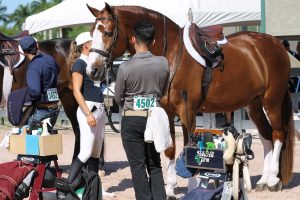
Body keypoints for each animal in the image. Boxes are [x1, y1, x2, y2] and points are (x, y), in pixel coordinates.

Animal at [85, 3, 296, 197]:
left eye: (108, 32)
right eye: (91, 32)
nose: (92, 70)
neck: (170, 53)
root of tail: (275, 43)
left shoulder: (187, 110)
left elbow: (189, 147)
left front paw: (193, 186)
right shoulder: (167, 112)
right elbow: (170, 148)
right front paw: (170, 189)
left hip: (272, 101)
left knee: (278, 134)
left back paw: (273, 180)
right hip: (254, 104)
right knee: (266, 136)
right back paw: (263, 180)